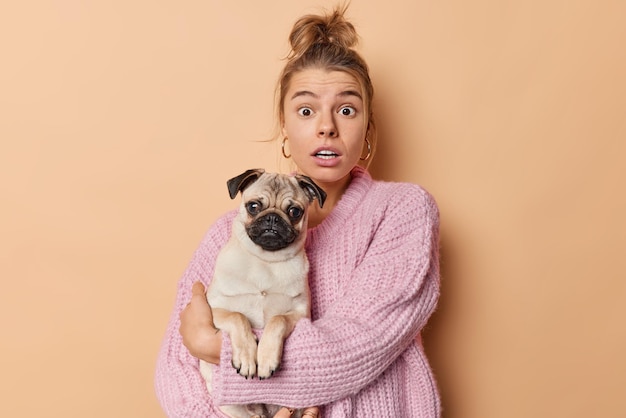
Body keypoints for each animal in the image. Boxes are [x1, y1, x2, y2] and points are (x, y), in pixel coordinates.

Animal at [200, 168, 326, 416]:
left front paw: (266, 358)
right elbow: (237, 316)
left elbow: (277, 320)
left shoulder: (300, 313)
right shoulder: (214, 310)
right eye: (253, 206)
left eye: (294, 211)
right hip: (231, 406)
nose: (273, 218)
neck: (266, 260)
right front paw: (247, 357)